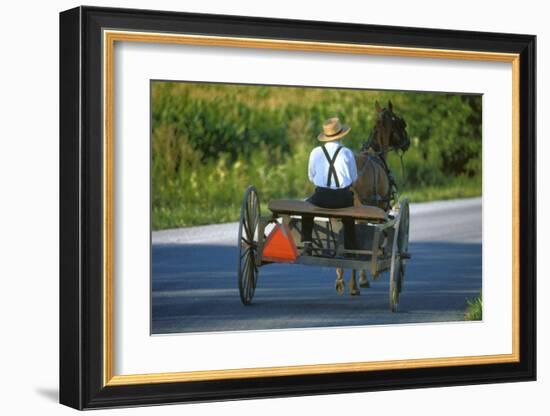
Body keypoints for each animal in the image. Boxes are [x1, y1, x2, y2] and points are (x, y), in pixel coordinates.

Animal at [334, 100, 412, 296]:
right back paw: (354, 284)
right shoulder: (379, 209)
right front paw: (364, 278)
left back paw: (340, 278)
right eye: (401, 123)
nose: (407, 142)